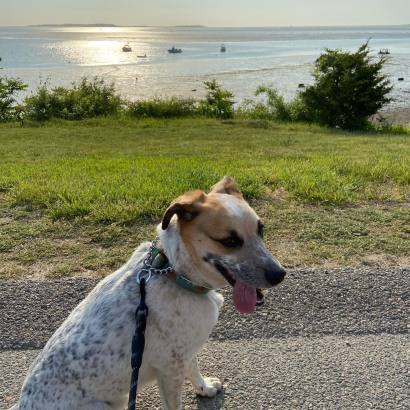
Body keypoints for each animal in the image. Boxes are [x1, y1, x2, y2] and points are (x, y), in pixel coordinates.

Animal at [12, 176, 286, 410]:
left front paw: (204, 388)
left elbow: (194, 368)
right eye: (229, 241)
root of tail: (22, 405)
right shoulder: (170, 369)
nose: (279, 274)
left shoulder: (184, 351)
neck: (175, 272)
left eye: (261, 230)